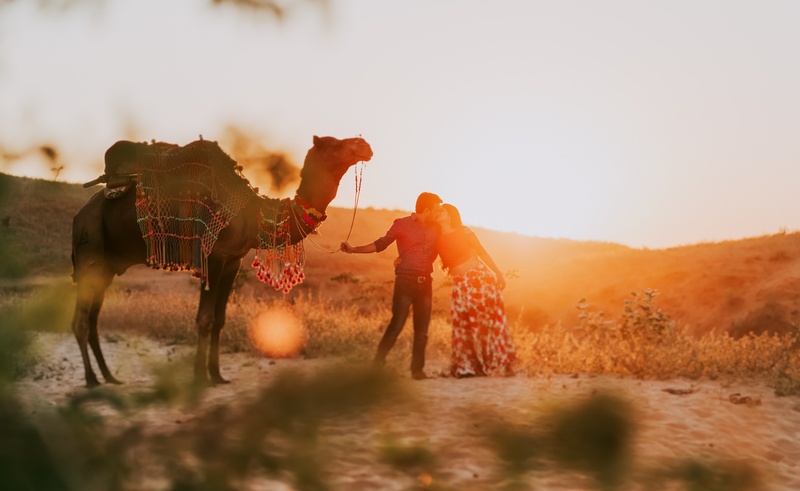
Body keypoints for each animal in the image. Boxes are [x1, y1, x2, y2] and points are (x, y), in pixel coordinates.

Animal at [71, 135, 372, 388]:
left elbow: (219, 319)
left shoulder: (232, 262)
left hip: (106, 268)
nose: (364, 145)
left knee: (93, 320)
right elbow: (204, 319)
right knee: (81, 321)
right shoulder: (212, 256)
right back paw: (91, 380)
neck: (253, 214)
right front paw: (199, 377)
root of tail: (79, 215)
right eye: (334, 144)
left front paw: (217, 375)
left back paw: (109, 377)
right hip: (89, 256)